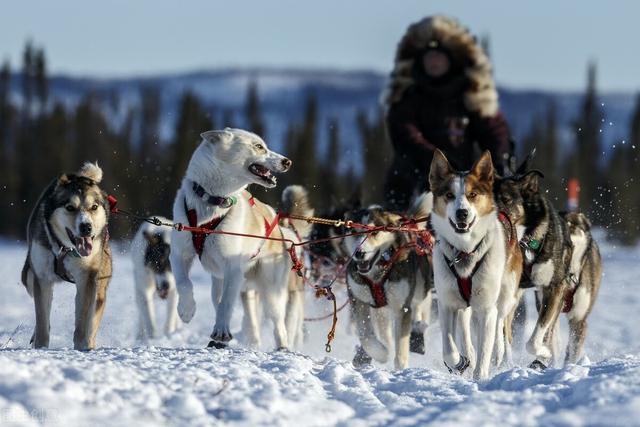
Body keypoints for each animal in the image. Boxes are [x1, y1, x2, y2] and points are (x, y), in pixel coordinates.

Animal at [20, 164, 112, 352]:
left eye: (94, 207)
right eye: (70, 207)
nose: (86, 227)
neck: (65, 248)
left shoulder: (87, 277)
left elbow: (83, 322)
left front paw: (81, 347)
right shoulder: (42, 278)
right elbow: (42, 321)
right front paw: (41, 348)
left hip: (100, 285)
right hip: (28, 276)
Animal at [172, 129, 302, 350]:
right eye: (259, 146)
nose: (288, 161)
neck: (213, 201)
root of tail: (279, 231)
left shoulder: (232, 267)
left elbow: (226, 303)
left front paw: (222, 331)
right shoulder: (179, 254)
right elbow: (184, 283)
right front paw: (186, 309)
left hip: (271, 290)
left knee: (278, 323)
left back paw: (282, 347)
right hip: (221, 282)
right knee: (219, 301)